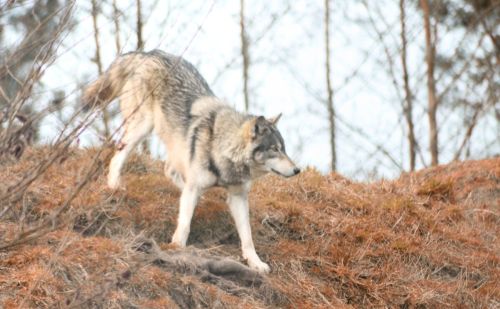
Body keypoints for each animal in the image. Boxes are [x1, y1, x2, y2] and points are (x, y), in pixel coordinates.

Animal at [82, 50, 300, 272]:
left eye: (284, 149)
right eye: (274, 149)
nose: (297, 170)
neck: (223, 148)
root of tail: (149, 53)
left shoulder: (238, 197)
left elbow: (247, 237)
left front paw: (255, 263)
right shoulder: (196, 187)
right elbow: (185, 224)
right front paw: (177, 248)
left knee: (169, 170)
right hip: (142, 128)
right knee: (118, 158)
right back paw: (114, 186)